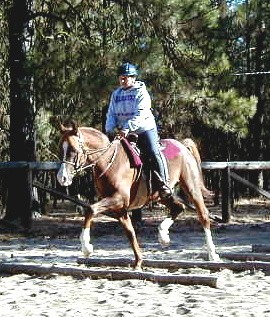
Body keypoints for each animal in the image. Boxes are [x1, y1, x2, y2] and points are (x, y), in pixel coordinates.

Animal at [57, 119, 219, 268]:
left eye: (73, 150)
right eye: (61, 149)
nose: (61, 178)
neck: (109, 161)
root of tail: (182, 146)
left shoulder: (118, 199)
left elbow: (90, 209)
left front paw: (86, 247)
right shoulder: (120, 207)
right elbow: (130, 232)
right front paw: (138, 262)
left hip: (192, 188)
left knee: (203, 216)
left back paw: (212, 254)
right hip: (161, 194)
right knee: (178, 207)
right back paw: (163, 236)